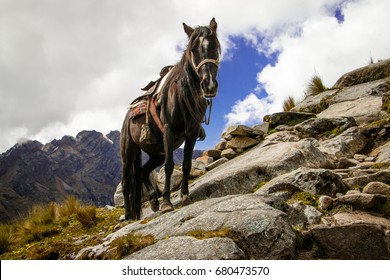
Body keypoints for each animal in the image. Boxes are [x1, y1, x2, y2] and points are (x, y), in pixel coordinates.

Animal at [120, 18, 221, 221]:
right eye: (193, 50)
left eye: (215, 46)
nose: (209, 85)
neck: (183, 95)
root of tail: (128, 117)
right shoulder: (169, 131)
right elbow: (169, 166)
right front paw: (167, 203)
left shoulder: (191, 133)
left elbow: (187, 164)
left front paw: (185, 196)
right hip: (128, 151)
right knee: (127, 181)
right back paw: (129, 215)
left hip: (155, 152)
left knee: (142, 171)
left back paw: (153, 201)